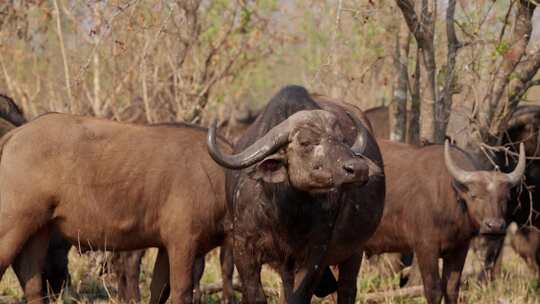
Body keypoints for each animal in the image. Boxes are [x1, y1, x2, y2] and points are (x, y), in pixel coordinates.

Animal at [0, 114, 230, 304]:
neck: (221, 178)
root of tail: (14, 135)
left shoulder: (169, 248)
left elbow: (160, 290)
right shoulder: (184, 244)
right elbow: (181, 291)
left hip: (38, 230)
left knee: (31, 281)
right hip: (12, 229)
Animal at [207, 86, 384, 304]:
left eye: (342, 139)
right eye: (305, 142)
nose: (358, 169)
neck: (284, 212)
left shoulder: (315, 255)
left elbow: (299, 296)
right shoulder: (243, 247)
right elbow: (255, 295)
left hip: (354, 252)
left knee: (346, 289)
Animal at [360, 140, 524, 304]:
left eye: (506, 197)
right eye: (474, 195)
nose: (494, 226)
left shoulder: (459, 248)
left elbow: (451, 289)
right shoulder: (426, 247)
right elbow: (433, 290)